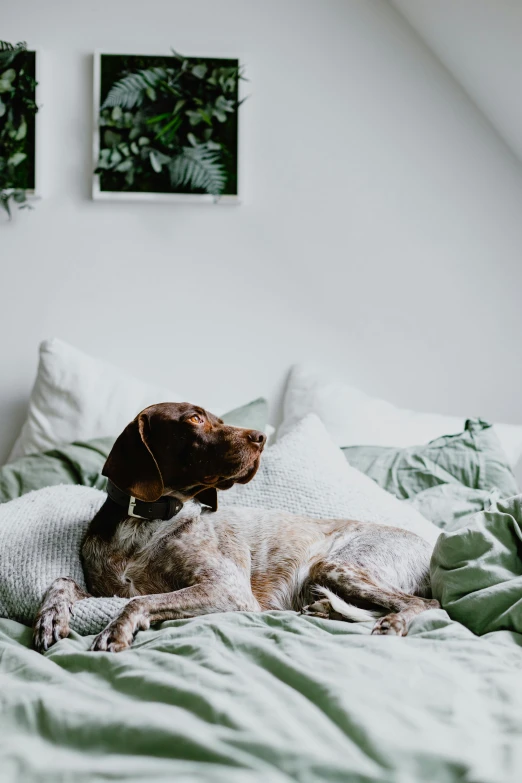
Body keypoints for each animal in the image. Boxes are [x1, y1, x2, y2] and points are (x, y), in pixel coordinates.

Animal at [32, 402, 436, 652]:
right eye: (194, 419)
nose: (261, 437)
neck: (144, 521)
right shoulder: (106, 591)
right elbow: (63, 581)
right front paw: (50, 618)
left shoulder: (228, 590)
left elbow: (140, 600)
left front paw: (114, 630)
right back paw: (324, 609)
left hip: (337, 565)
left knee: (426, 603)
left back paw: (392, 623)